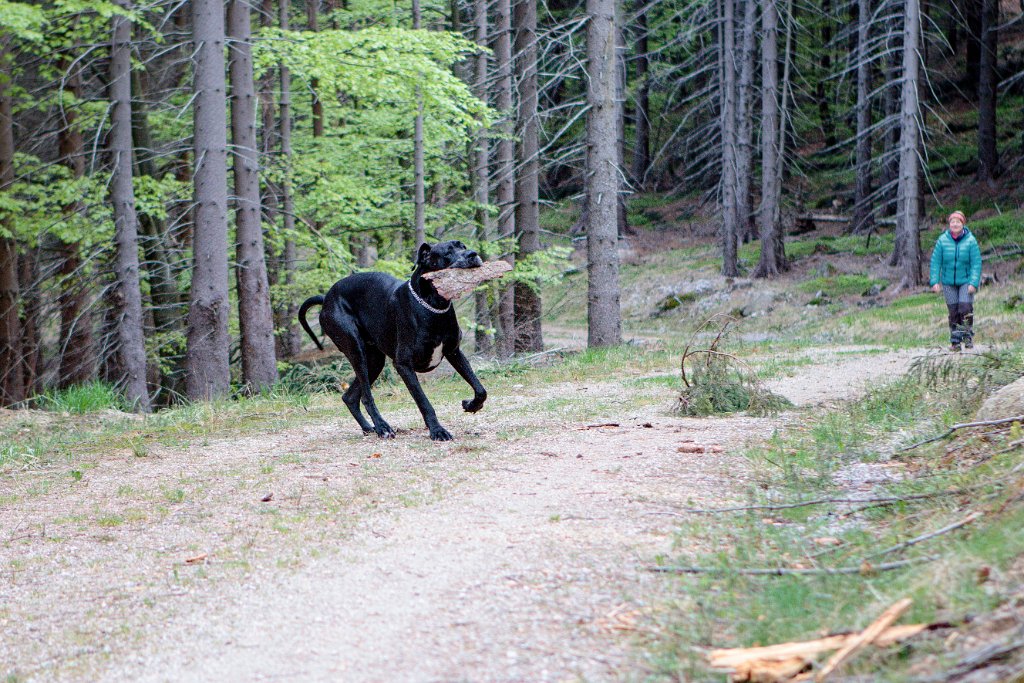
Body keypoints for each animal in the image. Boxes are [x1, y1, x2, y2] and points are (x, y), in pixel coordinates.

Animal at [296, 242, 487, 440]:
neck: (432, 306)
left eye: (463, 246)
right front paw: (437, 430)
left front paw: (471, 405)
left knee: (350, 397)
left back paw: (368, 428)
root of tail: (326, 298)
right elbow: (424, 402)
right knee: (366, 396)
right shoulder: (403, 364)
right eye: (448, 252)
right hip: (356, 351)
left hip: (374, 361)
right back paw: (382, 427)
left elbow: (481, 389)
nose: (473, 254)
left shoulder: (454, 352)